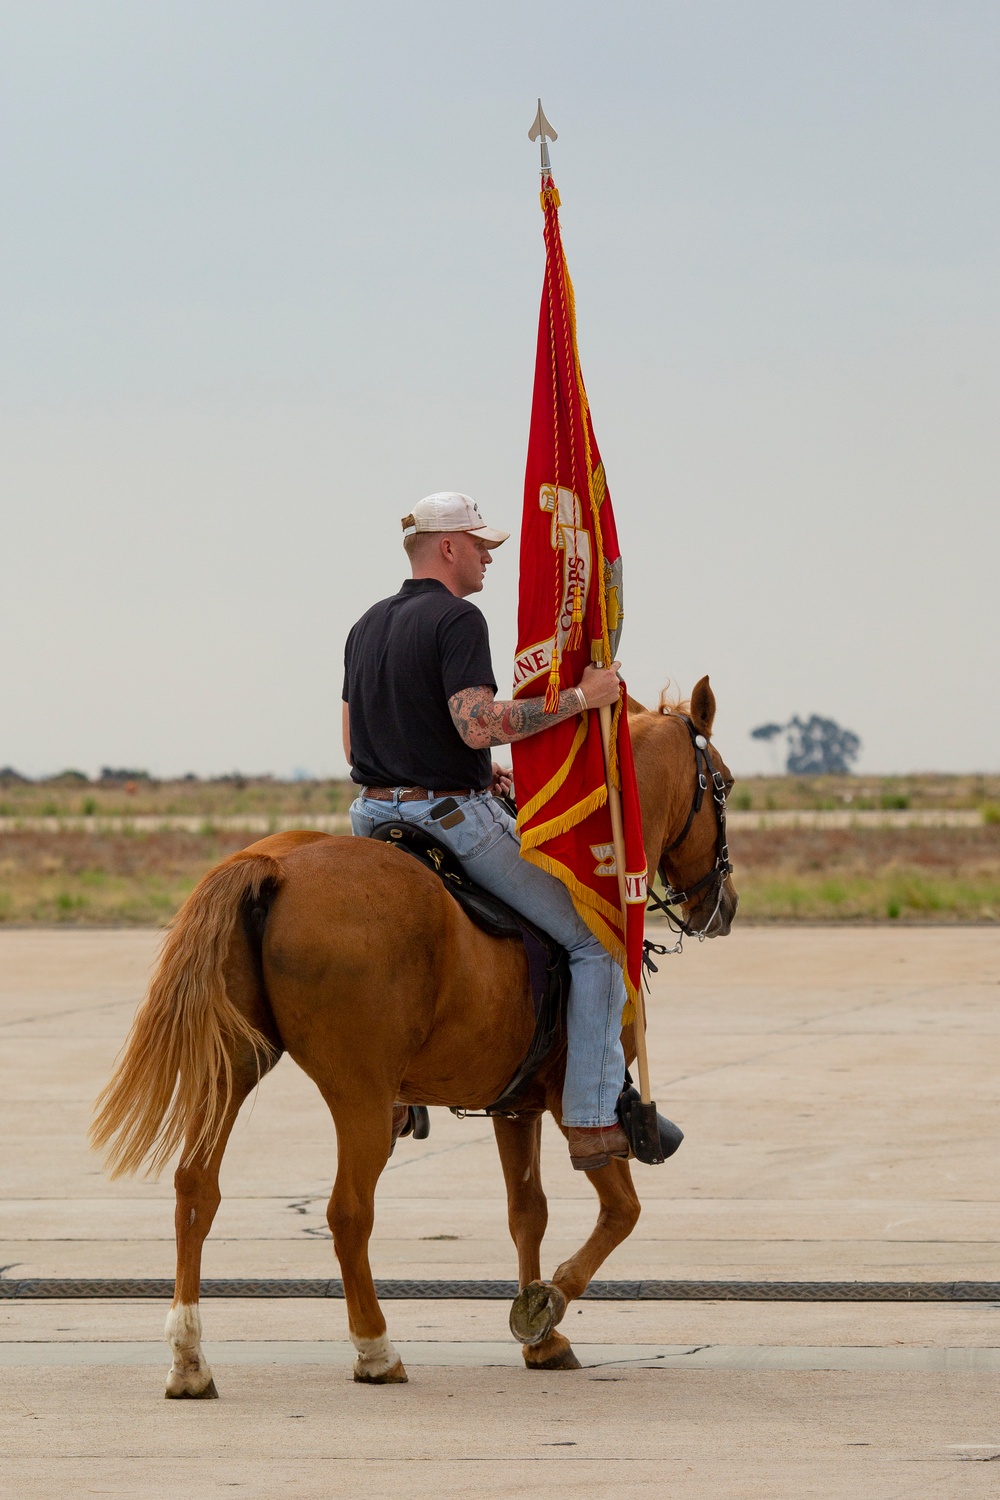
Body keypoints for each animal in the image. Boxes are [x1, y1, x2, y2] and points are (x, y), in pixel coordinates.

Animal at [91, 681, 734, 1392]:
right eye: (725, 785)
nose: (723, 904)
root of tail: (275, 866)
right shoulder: (576, 1099)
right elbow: (621, 1209)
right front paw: (547, 1304)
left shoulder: (515, 1106)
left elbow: (527, 1210)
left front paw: (543, 1339)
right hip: (360, 1096)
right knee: (347, 1211)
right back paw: (375, 1349)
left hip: (233, 1072)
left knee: (195, 1189)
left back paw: (189, 1359)